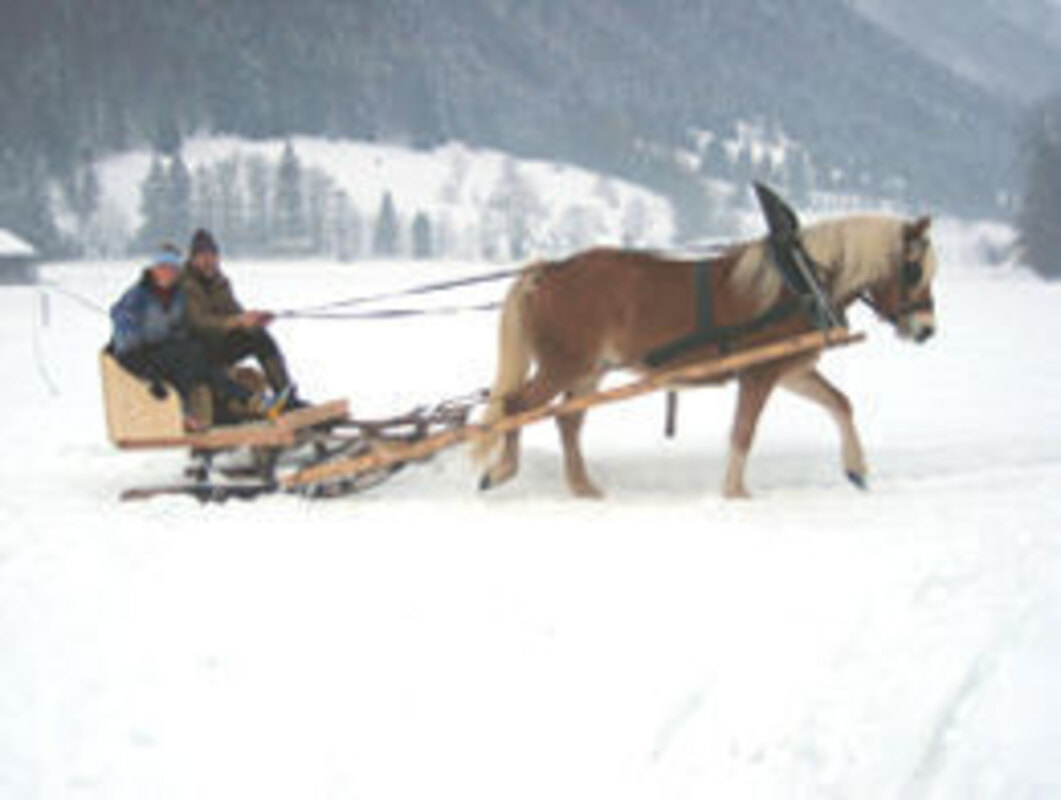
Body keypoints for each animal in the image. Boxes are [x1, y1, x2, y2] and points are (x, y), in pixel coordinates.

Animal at [473, 212, 937, 498]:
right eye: (914, 269)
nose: (927, 331)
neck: (800, 282)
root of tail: (550, 270)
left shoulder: (790, 370)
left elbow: (840, 403)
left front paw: (857, 469)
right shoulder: (759, 374)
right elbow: (743, 432)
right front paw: (735, 492)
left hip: (588, 371)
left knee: (567, 420)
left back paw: (583, 487)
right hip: (562, 366)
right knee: (517, 407)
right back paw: (501, 470)